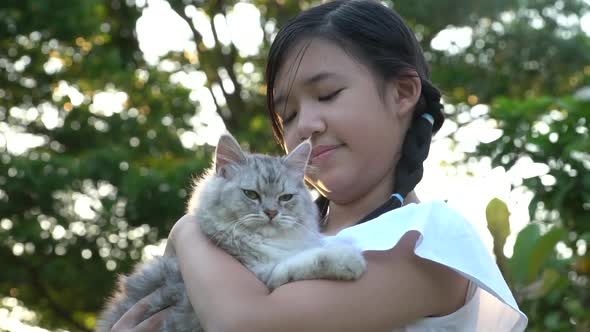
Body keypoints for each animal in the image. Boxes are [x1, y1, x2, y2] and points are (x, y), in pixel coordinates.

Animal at [96, 133, 366, 332]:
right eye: (251, 194)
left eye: (285, 198)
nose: (271, 212)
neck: (265, 242)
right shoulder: (262, 276)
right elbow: (303, 262)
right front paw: (350, 259)